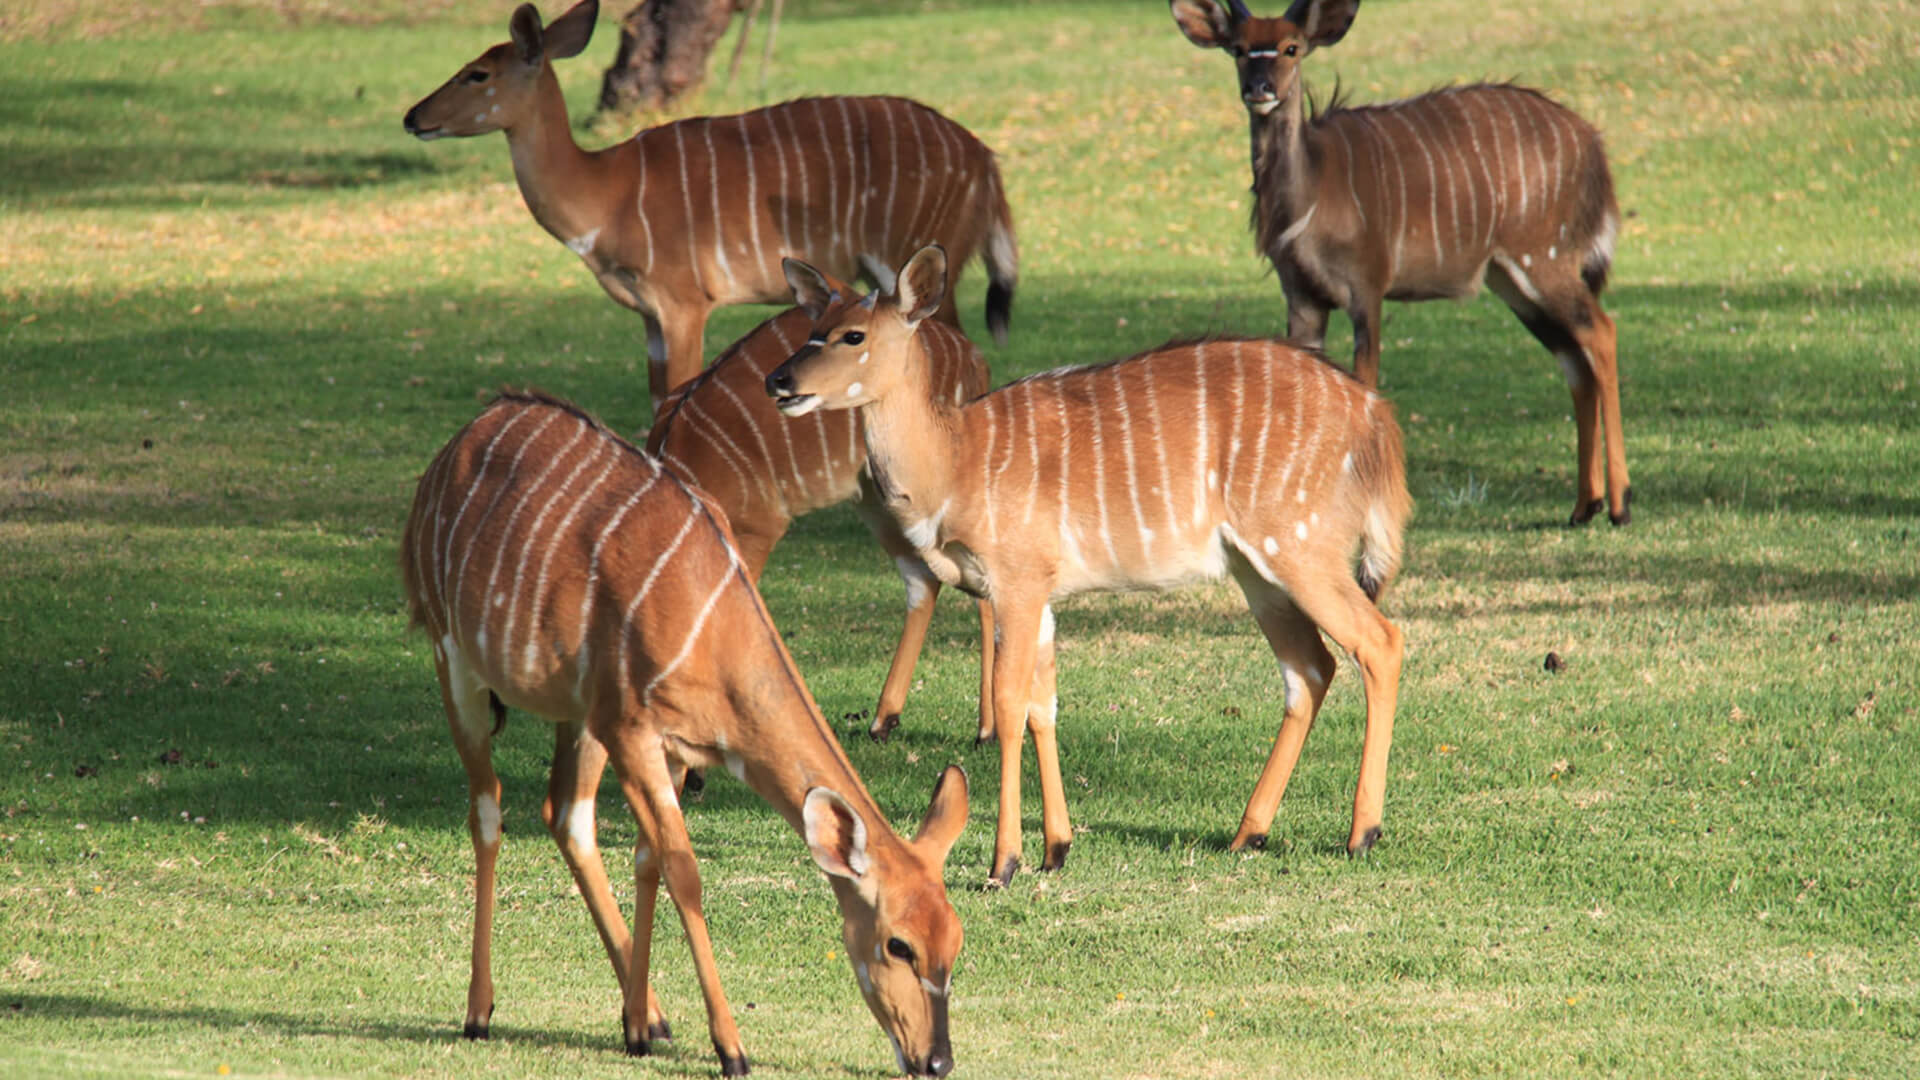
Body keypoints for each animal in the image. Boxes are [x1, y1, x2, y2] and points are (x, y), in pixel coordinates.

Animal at [405, 0, 1021, 409]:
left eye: (476, 73)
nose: (413, 116)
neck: (606, 192)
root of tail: (984, 158)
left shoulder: (684, 303)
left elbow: (678, 390)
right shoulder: (650, 315)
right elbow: (657, 396)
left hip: (914, 262)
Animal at [405, 388, 975, 1076]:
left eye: (956, 940)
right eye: (898, 945)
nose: (937, 1060)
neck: (715, 624)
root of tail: (454, 446)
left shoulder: (672, 746)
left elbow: (648, 857)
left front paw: (636, 1027)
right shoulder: (632, 730)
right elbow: (683, 870)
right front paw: (730, 1046)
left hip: (578, 714)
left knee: (566, 814)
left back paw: (647, 1013)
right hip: (455, 658)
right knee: (488, 809)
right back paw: (478, 1011)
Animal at [652, 282, 998, 745]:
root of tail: (973, 355)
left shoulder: (759, 528)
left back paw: (986, 730)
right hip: (874, 497)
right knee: (924, 580)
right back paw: (883, 720)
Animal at [764, 245, 1413, 883]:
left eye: (852, 335)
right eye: (813, 326)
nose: (778, 380)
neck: (954, 459)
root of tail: (1375, 415)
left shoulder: (1017, 581)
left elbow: (1008, 704)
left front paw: (1004, 863)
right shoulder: (1043, 596)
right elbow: (1043, 706)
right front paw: (1056, 849)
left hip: (1299, 546)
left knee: (1379, 641)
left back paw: (1362, 834)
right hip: (1258, 569)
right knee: (1309, 668)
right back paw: (1247, 834)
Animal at [1175, 0, 1628, 522]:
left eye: (1292, 48)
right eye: (1239, 49)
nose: (1260, 89)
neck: (1310, 193)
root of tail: (1592, 144)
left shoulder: (1367, 288)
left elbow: (1365, 380)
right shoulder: (1302, 295)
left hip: (1543, 260)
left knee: (1600, 332)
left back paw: (1620, 504)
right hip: (1513, 280)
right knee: (1574, 357)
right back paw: (1584, 506)